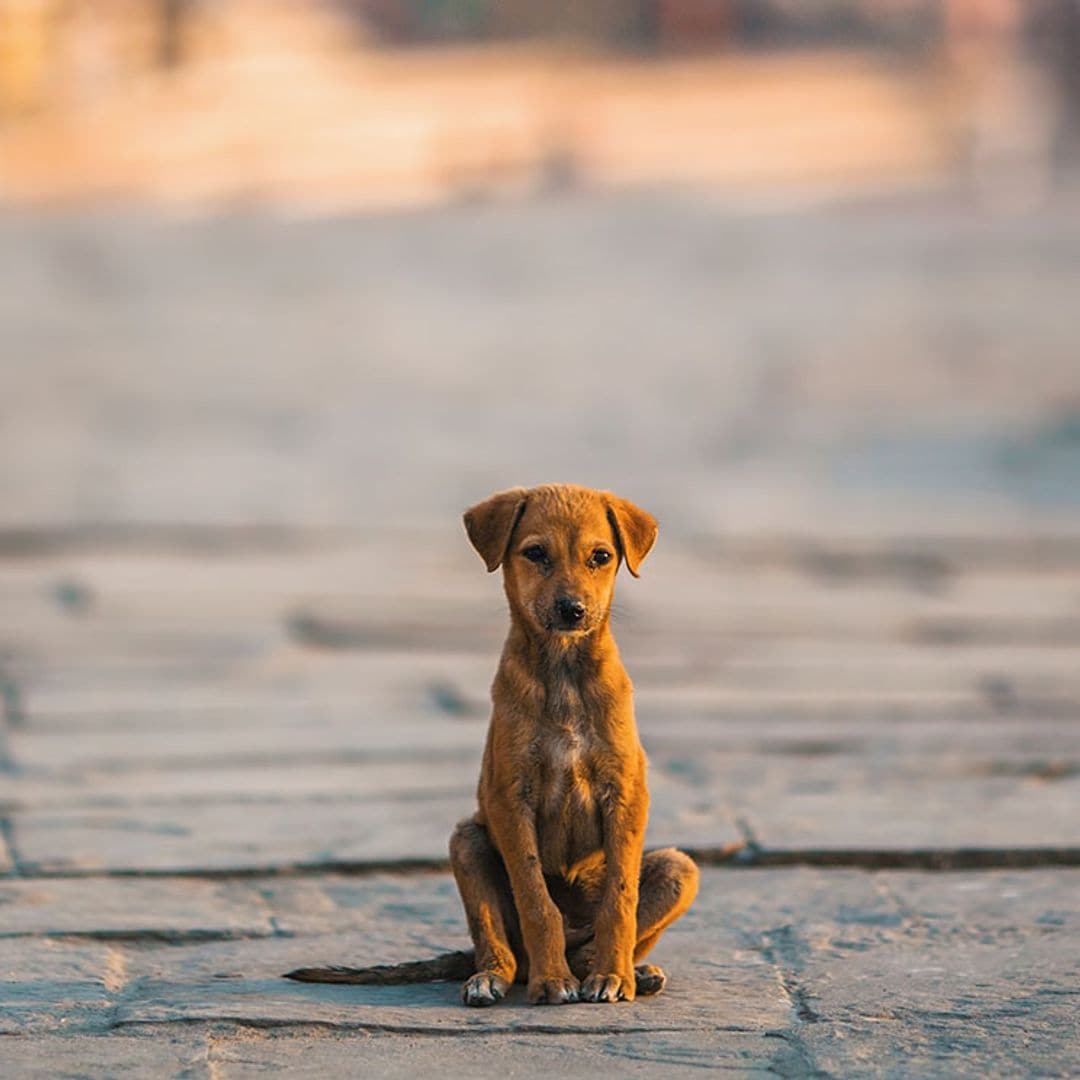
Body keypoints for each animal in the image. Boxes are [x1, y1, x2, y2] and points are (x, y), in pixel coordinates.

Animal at [451, 486, 695, 1006]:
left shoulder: (625, 793)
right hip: (467, 840)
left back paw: (630, 971)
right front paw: (552, 981)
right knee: (504, 948)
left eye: (600, 557)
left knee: (595, 939)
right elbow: (536, 900)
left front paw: (613, 977)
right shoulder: (509, 798)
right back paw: (493, 977)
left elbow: (620, 901)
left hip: (679, 867)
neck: (564, 670)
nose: (572, 610)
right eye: (535, 553)